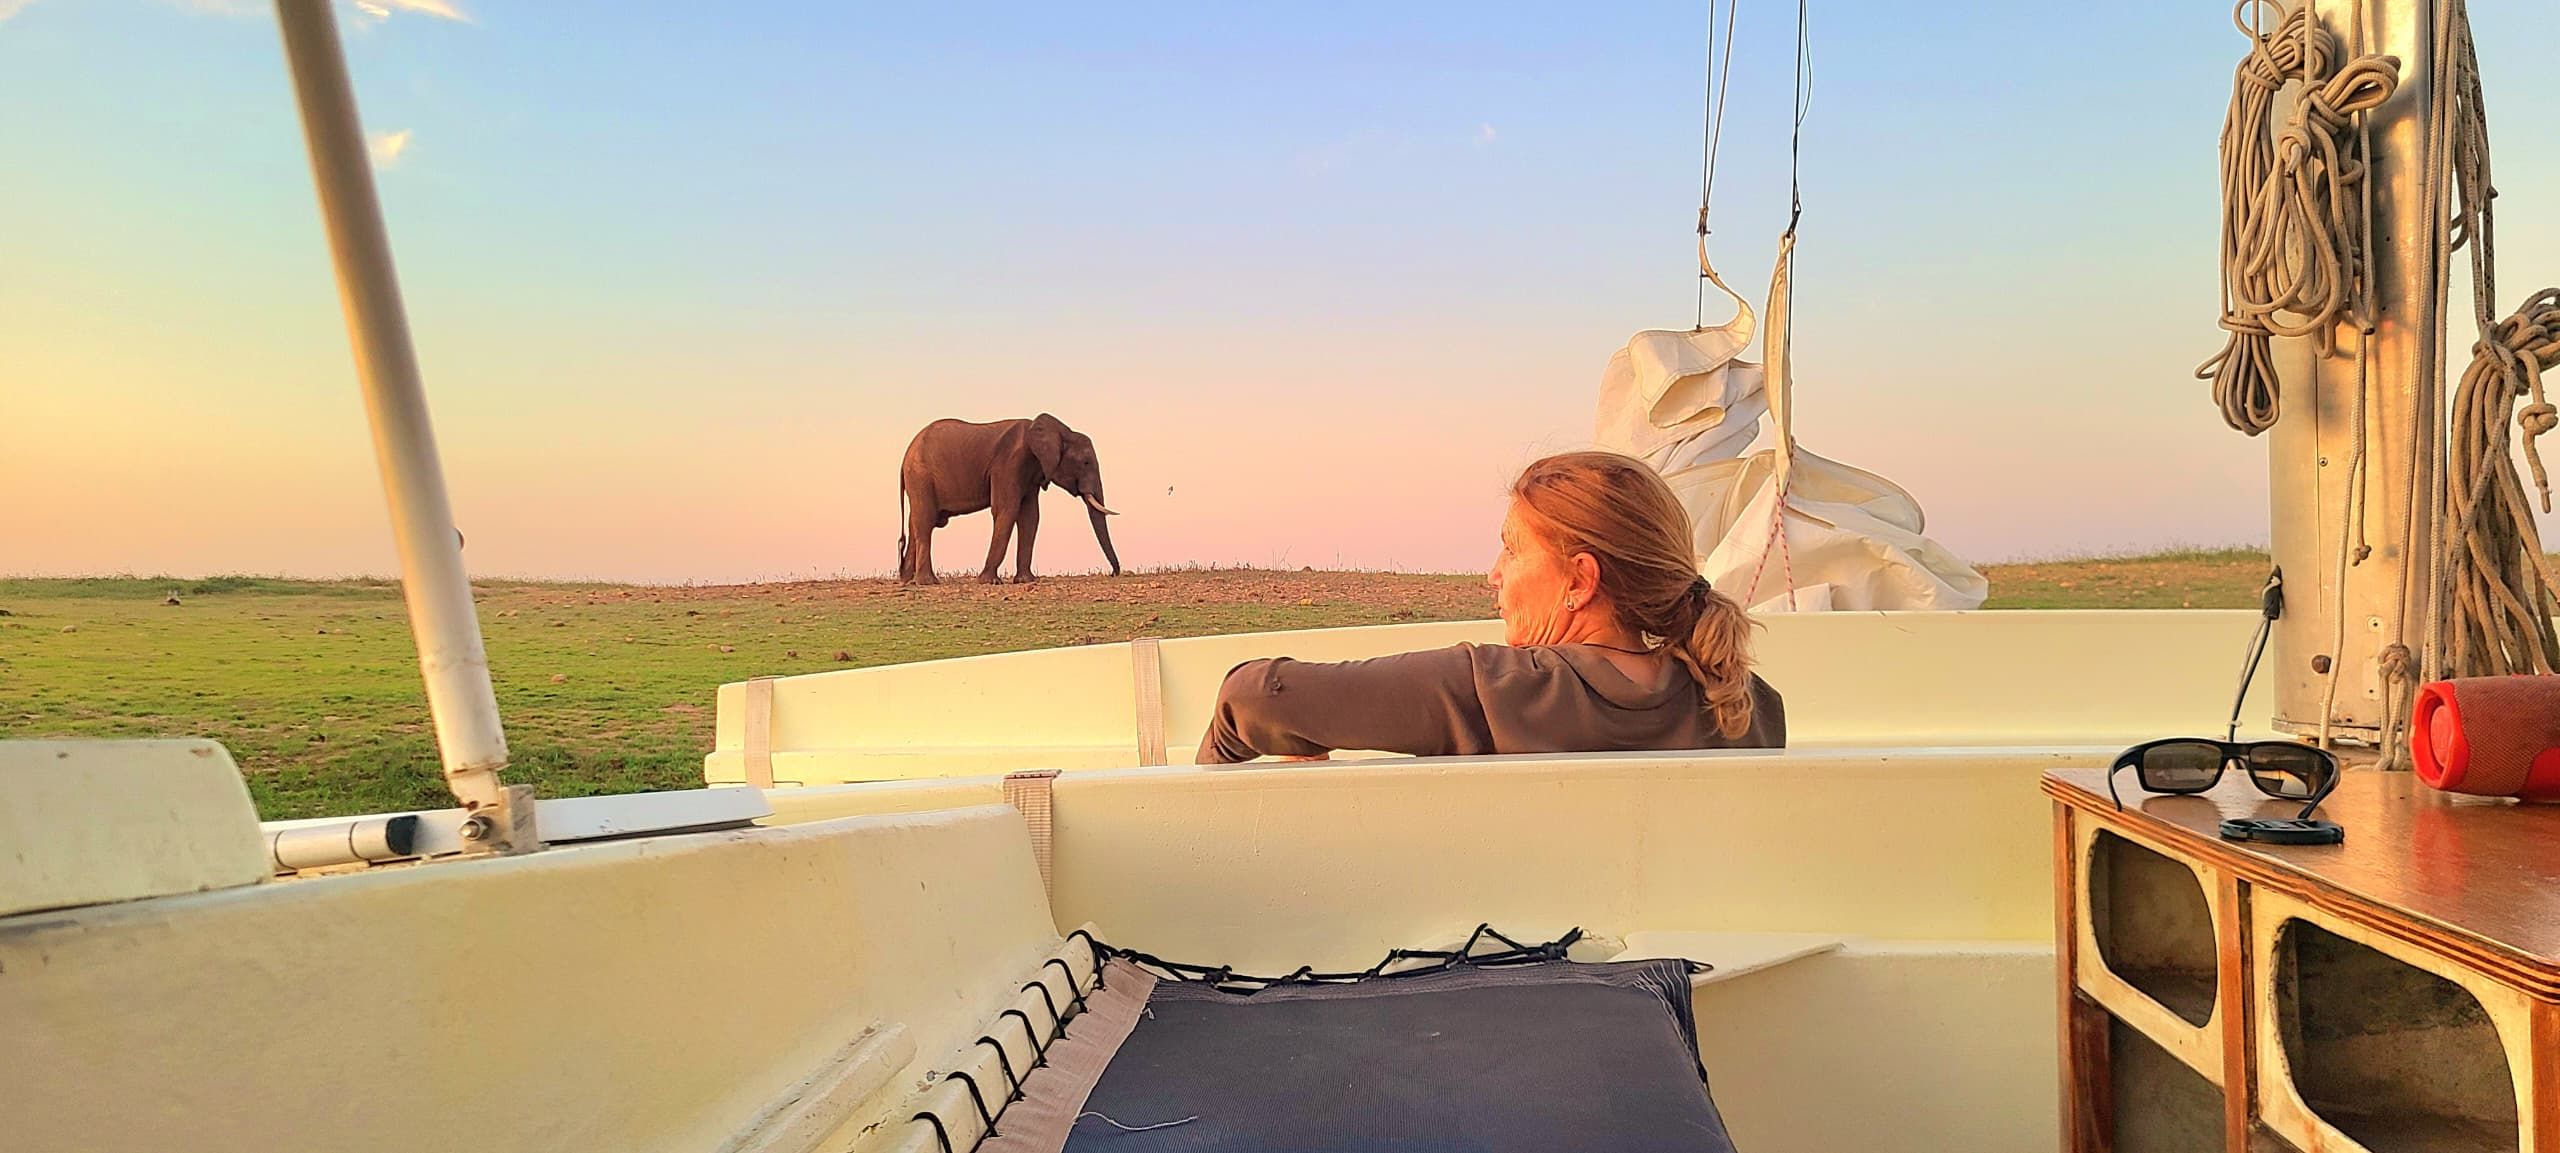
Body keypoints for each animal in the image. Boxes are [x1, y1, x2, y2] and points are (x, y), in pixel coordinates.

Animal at [897, 414, 1122, 584]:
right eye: (1086, 463)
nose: (1113, 573)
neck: (1059, 430)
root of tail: (905, 456)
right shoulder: (1008, 464)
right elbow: (1007, 510)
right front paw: (989, 582)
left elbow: (1030, 517)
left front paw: (1025, 580)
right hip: (921, 477)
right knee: (925, 521)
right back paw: (927, 582)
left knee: (915, 524)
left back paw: (907, 580)